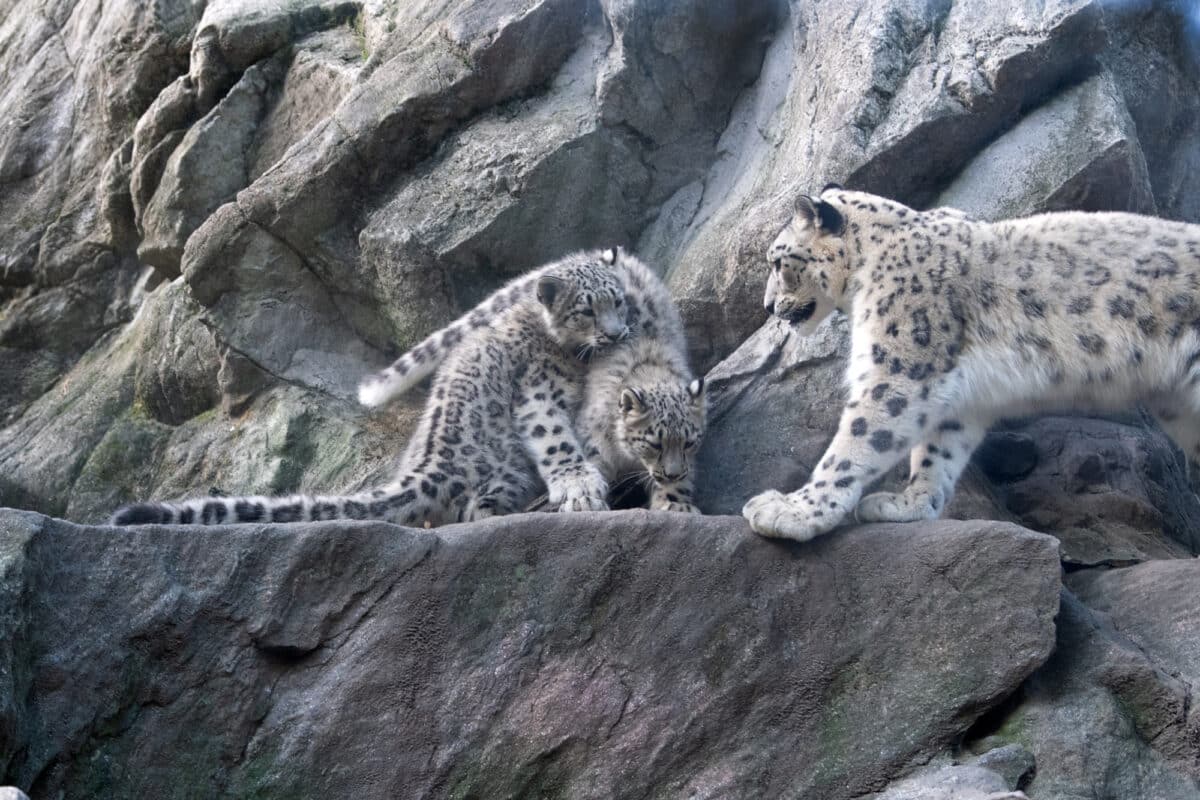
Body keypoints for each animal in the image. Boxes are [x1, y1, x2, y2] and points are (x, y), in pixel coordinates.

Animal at [743, 185, 1200, 543]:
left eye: (777, 262)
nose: (766, 306)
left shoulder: (900, 367)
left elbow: (856, 440)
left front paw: (794, 511)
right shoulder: (956, 393)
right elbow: (937, 450)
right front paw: (909, 503)